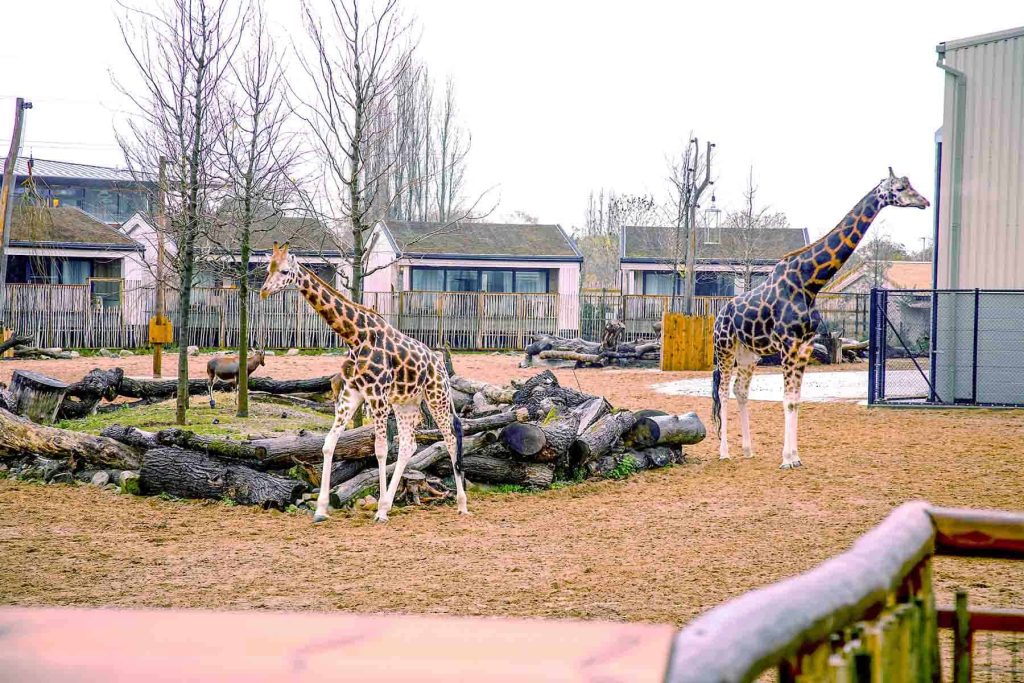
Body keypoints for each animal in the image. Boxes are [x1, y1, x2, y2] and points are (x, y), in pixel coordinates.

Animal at [259, 242, 468, 523]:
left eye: (283, 271)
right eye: (267, 268)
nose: (263, 291)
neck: (355, 337)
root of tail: (441, 364)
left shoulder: (377, 395)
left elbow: (379, 449)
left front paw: (379, 512)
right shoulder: (352, 393)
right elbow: (328, 444)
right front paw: (321, 509)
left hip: (437, 397)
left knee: (451, 439)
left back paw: (461, 504)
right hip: (406, 402)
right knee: (408, 445)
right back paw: (389, 502)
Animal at [711, 168, 929, 469]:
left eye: (910, 185)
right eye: (899, 187)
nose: (925, 202)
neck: (809, 283)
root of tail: (718, 315)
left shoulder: (804, 347)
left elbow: (797, 400)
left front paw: (795, 457)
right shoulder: (788, 346)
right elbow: (788, 399)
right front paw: (786, 460)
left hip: (749, 354)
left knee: (740, 390)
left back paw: (747, 450)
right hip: (725, 348)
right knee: (722, 391)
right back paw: (724, 453)